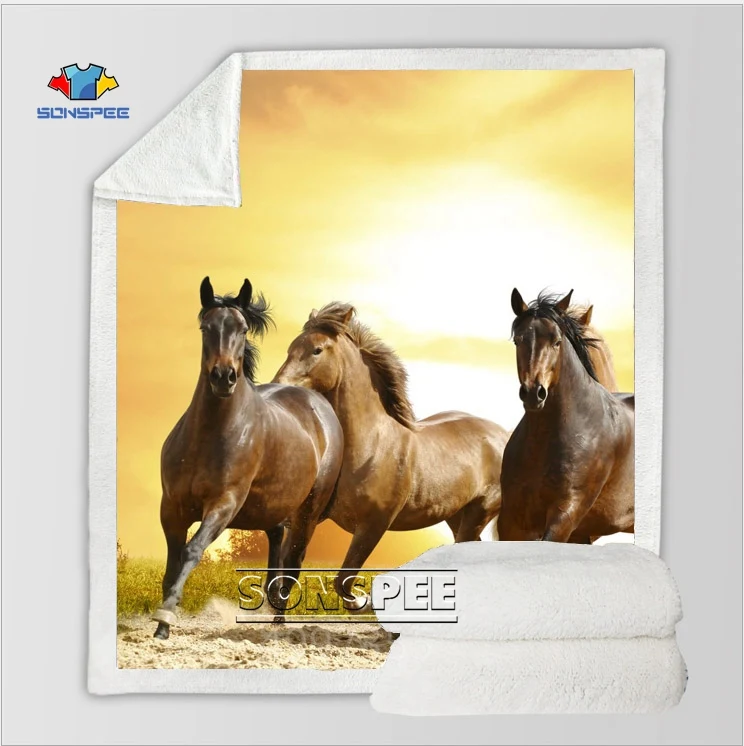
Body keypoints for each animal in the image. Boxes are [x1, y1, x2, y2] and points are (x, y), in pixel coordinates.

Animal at [152, 277, 344, 638]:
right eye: (206, 327)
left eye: (242, 329)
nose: (223, 377)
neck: (208, 436)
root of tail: (319, 403)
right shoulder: (171, 507)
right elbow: (172, 564)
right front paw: (161, 627)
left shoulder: (224, 503)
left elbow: (191, 551)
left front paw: (166, 617)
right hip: (272, 506)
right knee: (277, 543)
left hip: (308, 510)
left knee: (294, 561)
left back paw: (278, 624)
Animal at [273, 303, 510, 609]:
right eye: (291, 347)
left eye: (317, 350)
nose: (279, 385)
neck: (369, 447)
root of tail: (503, 435)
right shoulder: (306, 518)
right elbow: (287, 572)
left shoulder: (374, 525)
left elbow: (343, 582)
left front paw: (366, 603)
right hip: (456, 516)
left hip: (479, 512)